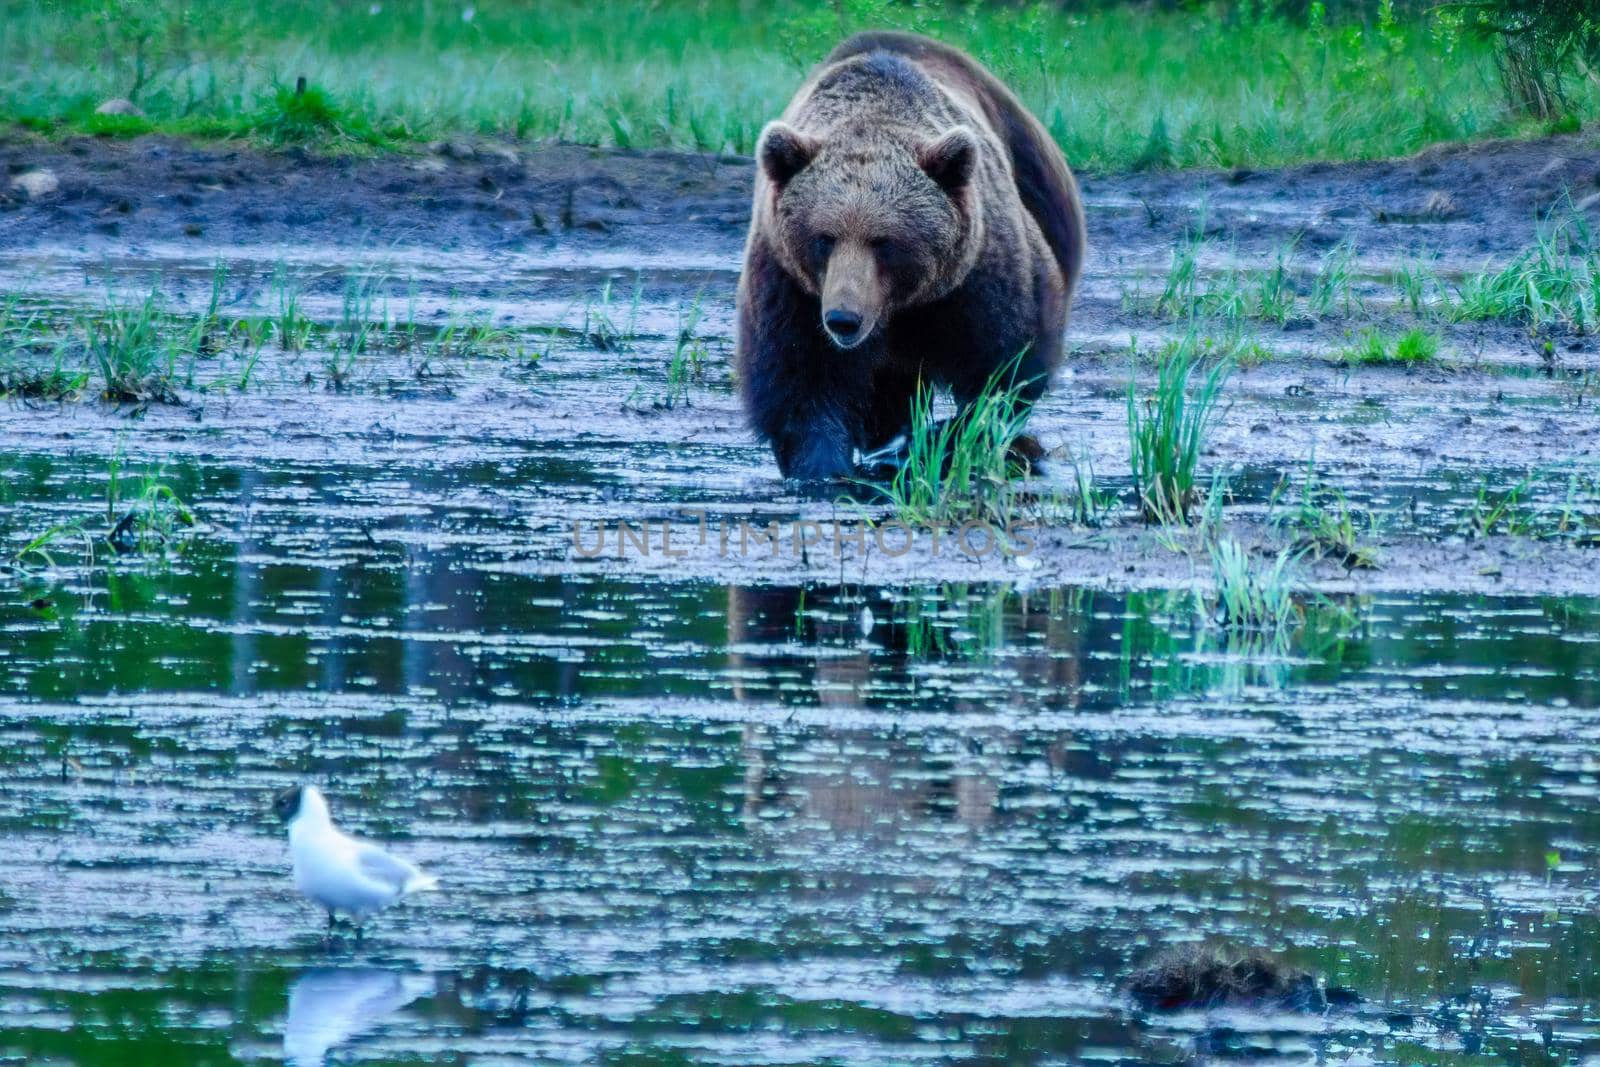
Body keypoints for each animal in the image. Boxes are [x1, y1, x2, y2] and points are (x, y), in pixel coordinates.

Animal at [736, 30, 1088, 479]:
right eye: (824, 238)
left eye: (884, 240)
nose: (843, 319)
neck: (899, 307)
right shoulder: (791, 285)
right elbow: (801, 382)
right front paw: (825, 467)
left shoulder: (978, 278)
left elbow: (1002, 369)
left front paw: (951, 439)